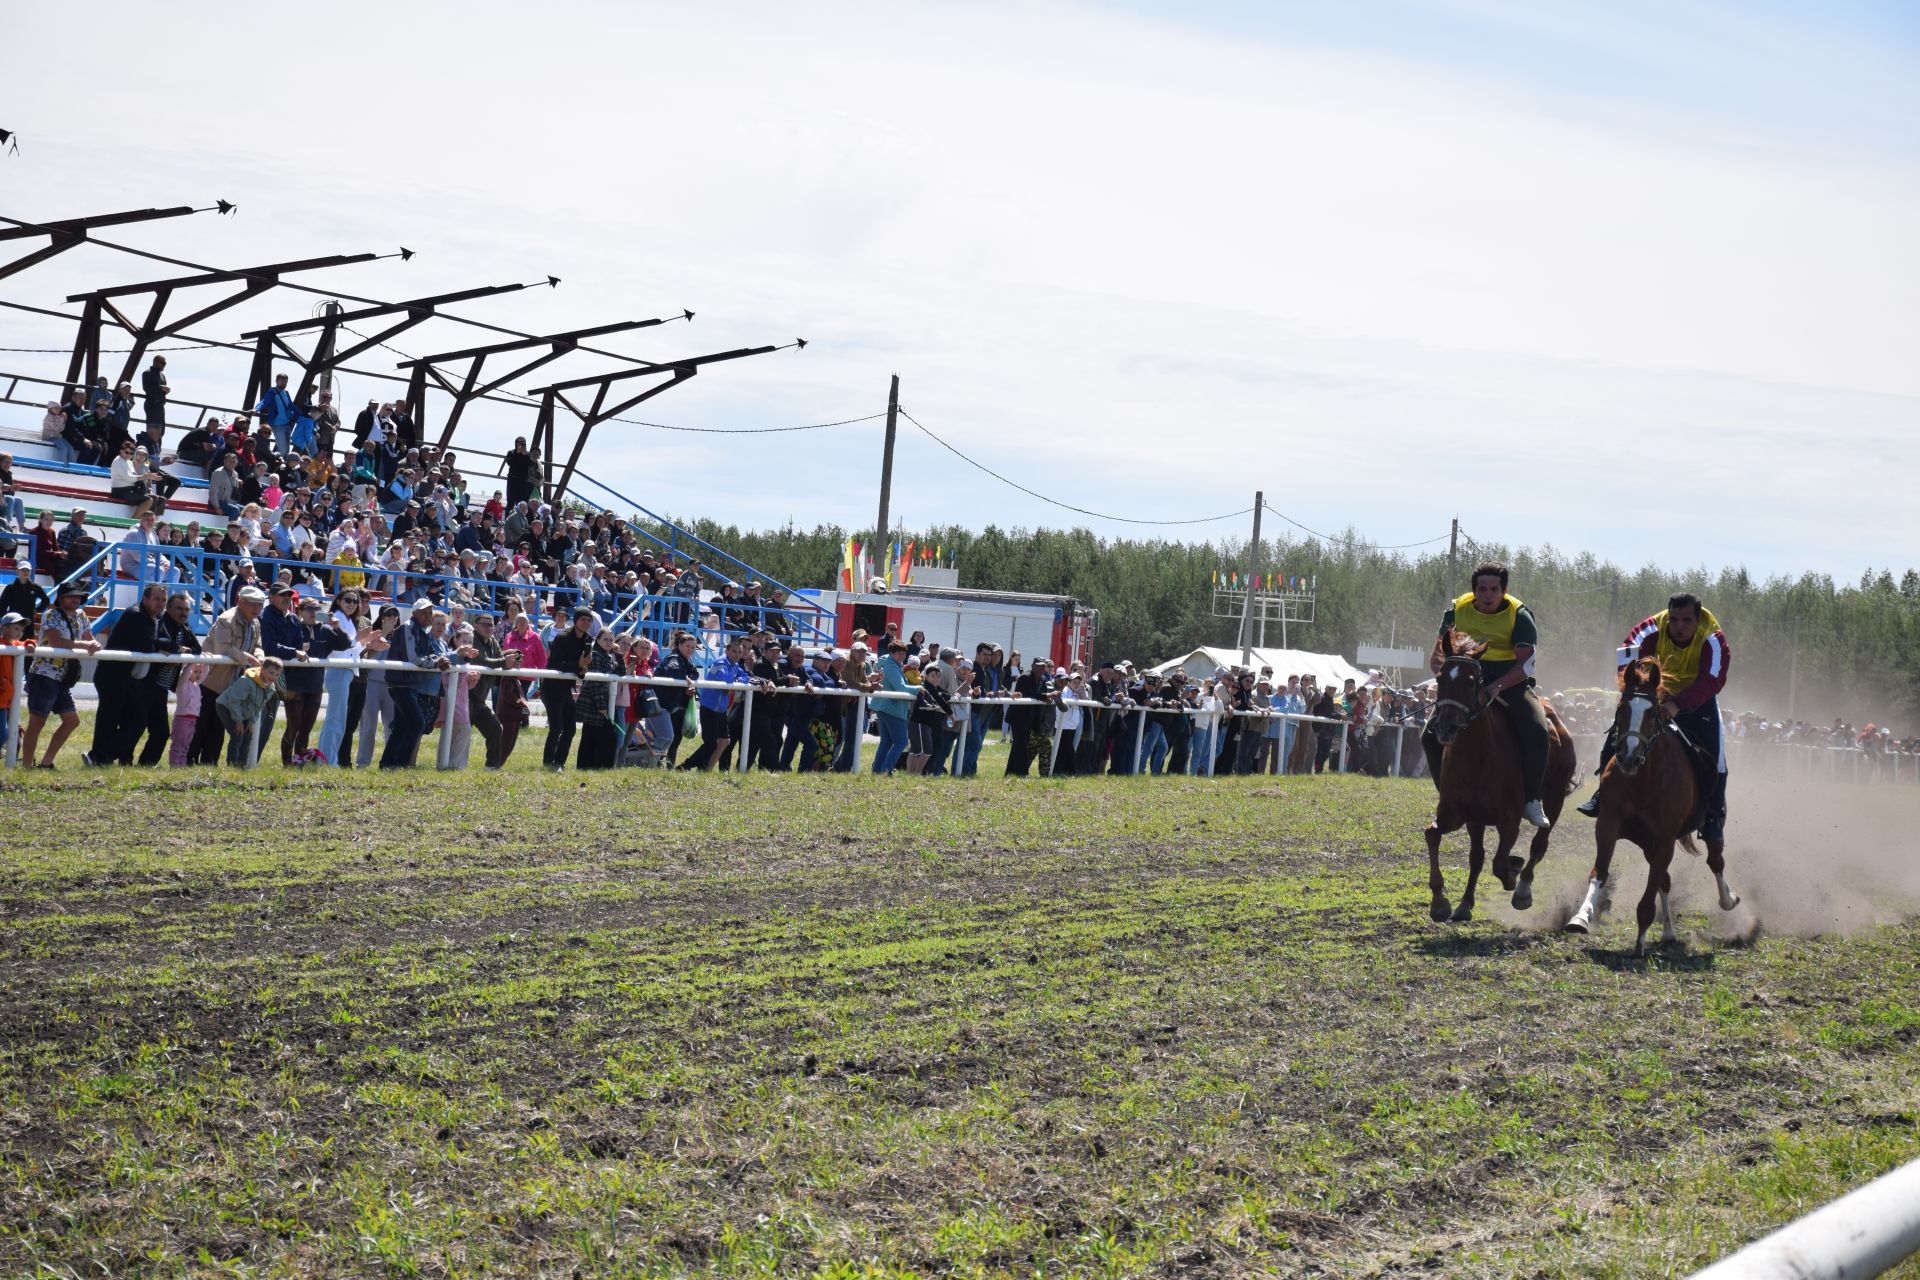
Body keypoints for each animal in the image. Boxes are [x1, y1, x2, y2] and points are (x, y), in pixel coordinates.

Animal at [1420, 633, 1582, 921]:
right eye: (1440, 678)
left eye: (1471, 681)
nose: (1446, 727)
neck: (1478, 757)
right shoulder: (1456, 814)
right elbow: (1434, 835)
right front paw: (1440, 902)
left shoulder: (1509, 820)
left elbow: (1499, 864)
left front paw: (1512, 875)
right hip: (1477, 819)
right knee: (1477, 856)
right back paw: (1465, 903)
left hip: (1554, 798)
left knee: (1539, 844)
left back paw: (1522, 889)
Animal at [1566, 660, 1751, 951]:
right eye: (1621, 708)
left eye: (1653, 714)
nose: (1628, 757)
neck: (1644, 779)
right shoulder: (1608, 824)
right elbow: (1600, 871)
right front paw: (1581, 916)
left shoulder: (1664, 838)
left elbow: (1651, 890)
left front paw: (1640, 940)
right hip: (1646, 842)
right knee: (1665, 880)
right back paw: (1668, 932)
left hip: (1697, 830)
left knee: (1714, 861)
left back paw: (1728, 900)